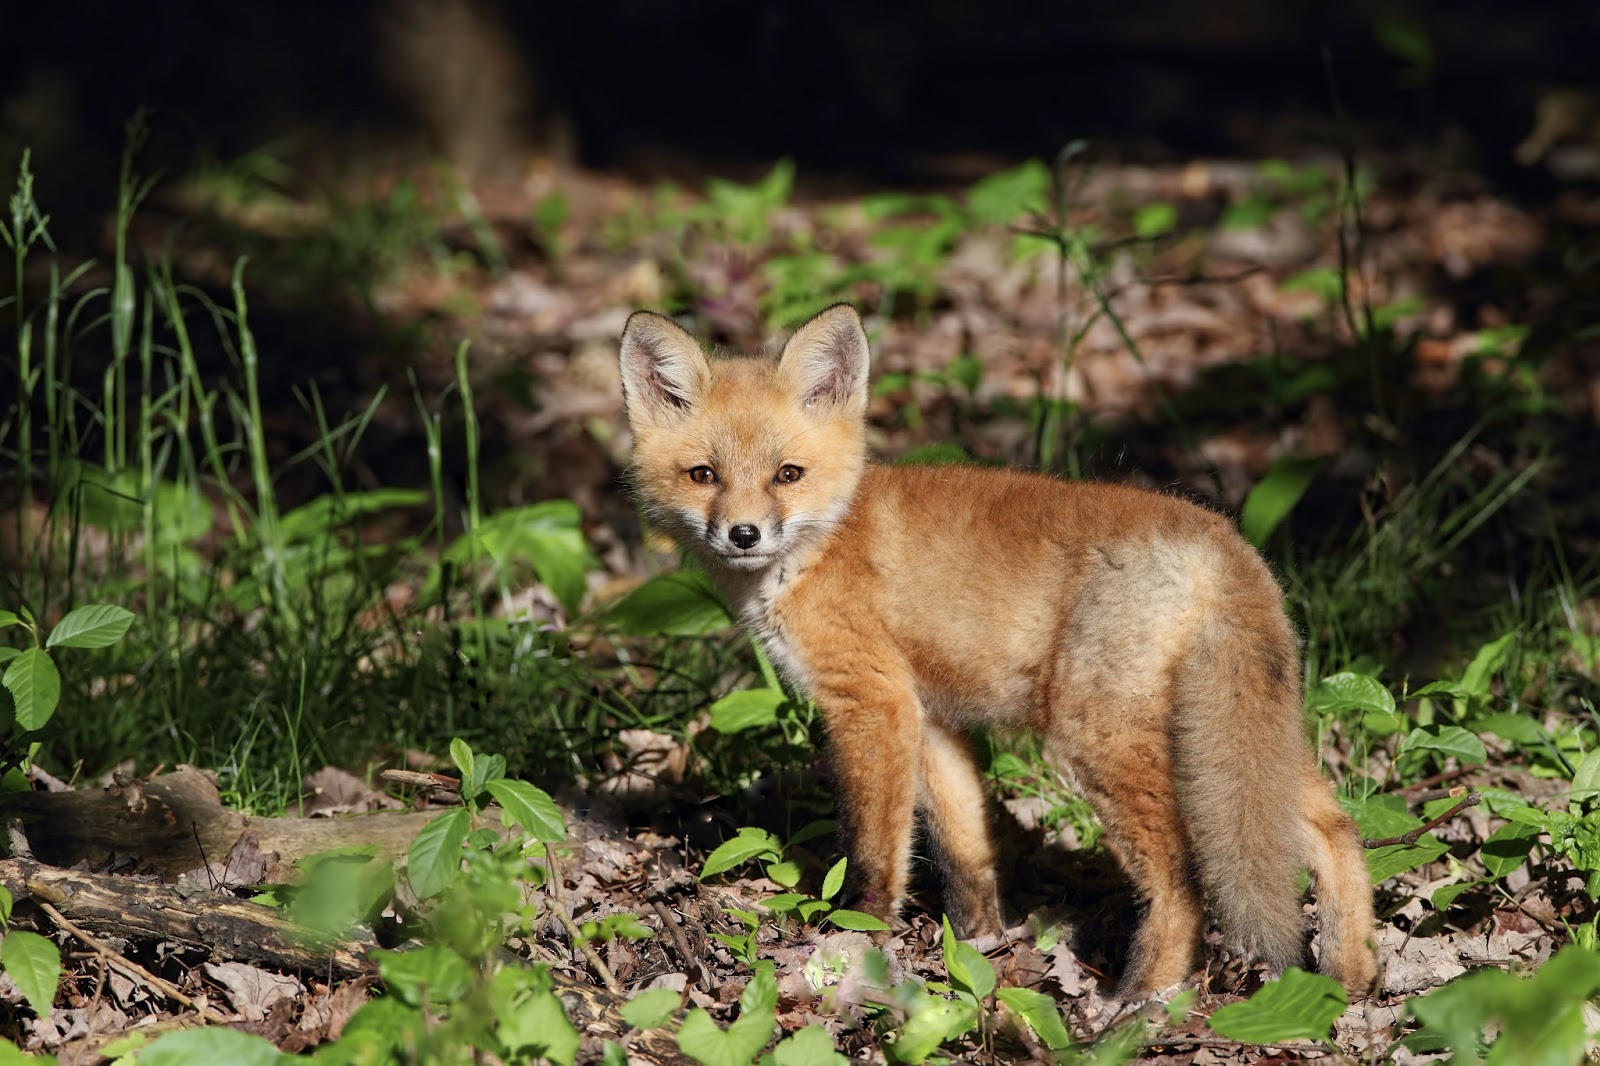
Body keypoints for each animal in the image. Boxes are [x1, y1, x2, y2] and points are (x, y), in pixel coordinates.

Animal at [617, 303, 1379, 997]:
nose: (743, 534)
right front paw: (979, 947)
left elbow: (874, 852)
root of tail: (1220, 536)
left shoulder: (871, 702)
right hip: (1242, 737)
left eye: (788, 474)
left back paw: (1138, 1004)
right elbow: (965, 848)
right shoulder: (928, 717)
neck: (821, 546)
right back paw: (1348, 982)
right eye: (704, 475)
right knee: (1335, 828)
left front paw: (858, 938)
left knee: (1183, 878)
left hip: (1100, 737)